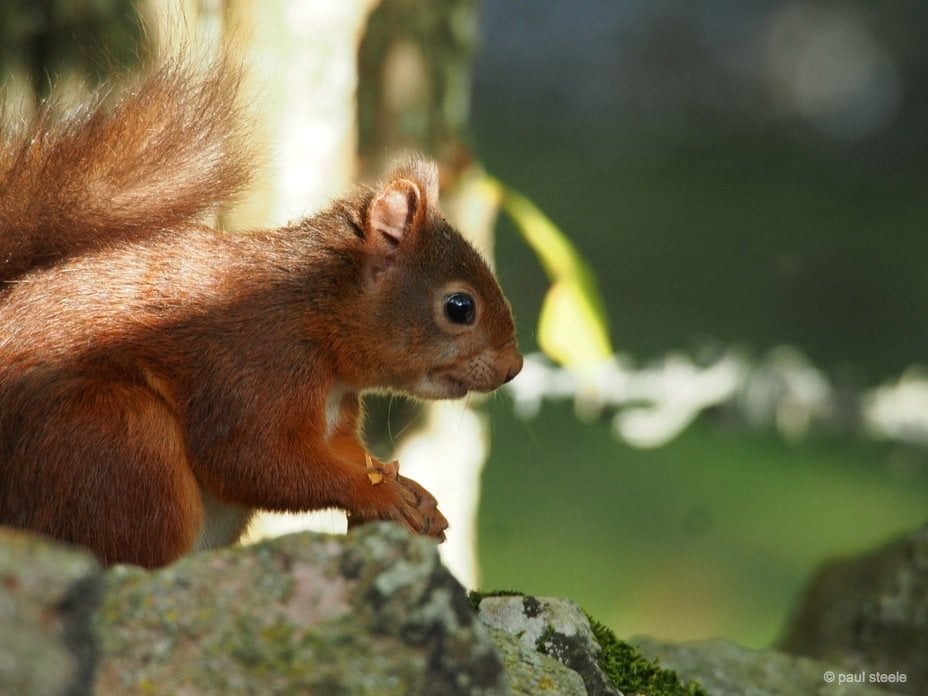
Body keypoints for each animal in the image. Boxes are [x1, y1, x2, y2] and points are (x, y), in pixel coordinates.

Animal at [0, 54, 520, 564]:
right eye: (460, 307)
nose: (513, 367)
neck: (313, 314)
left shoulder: (331, 417)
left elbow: (342, 452)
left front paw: (411, 490)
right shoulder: (254, 372)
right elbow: (255, 461)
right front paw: (376, 494)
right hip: (117, 444)